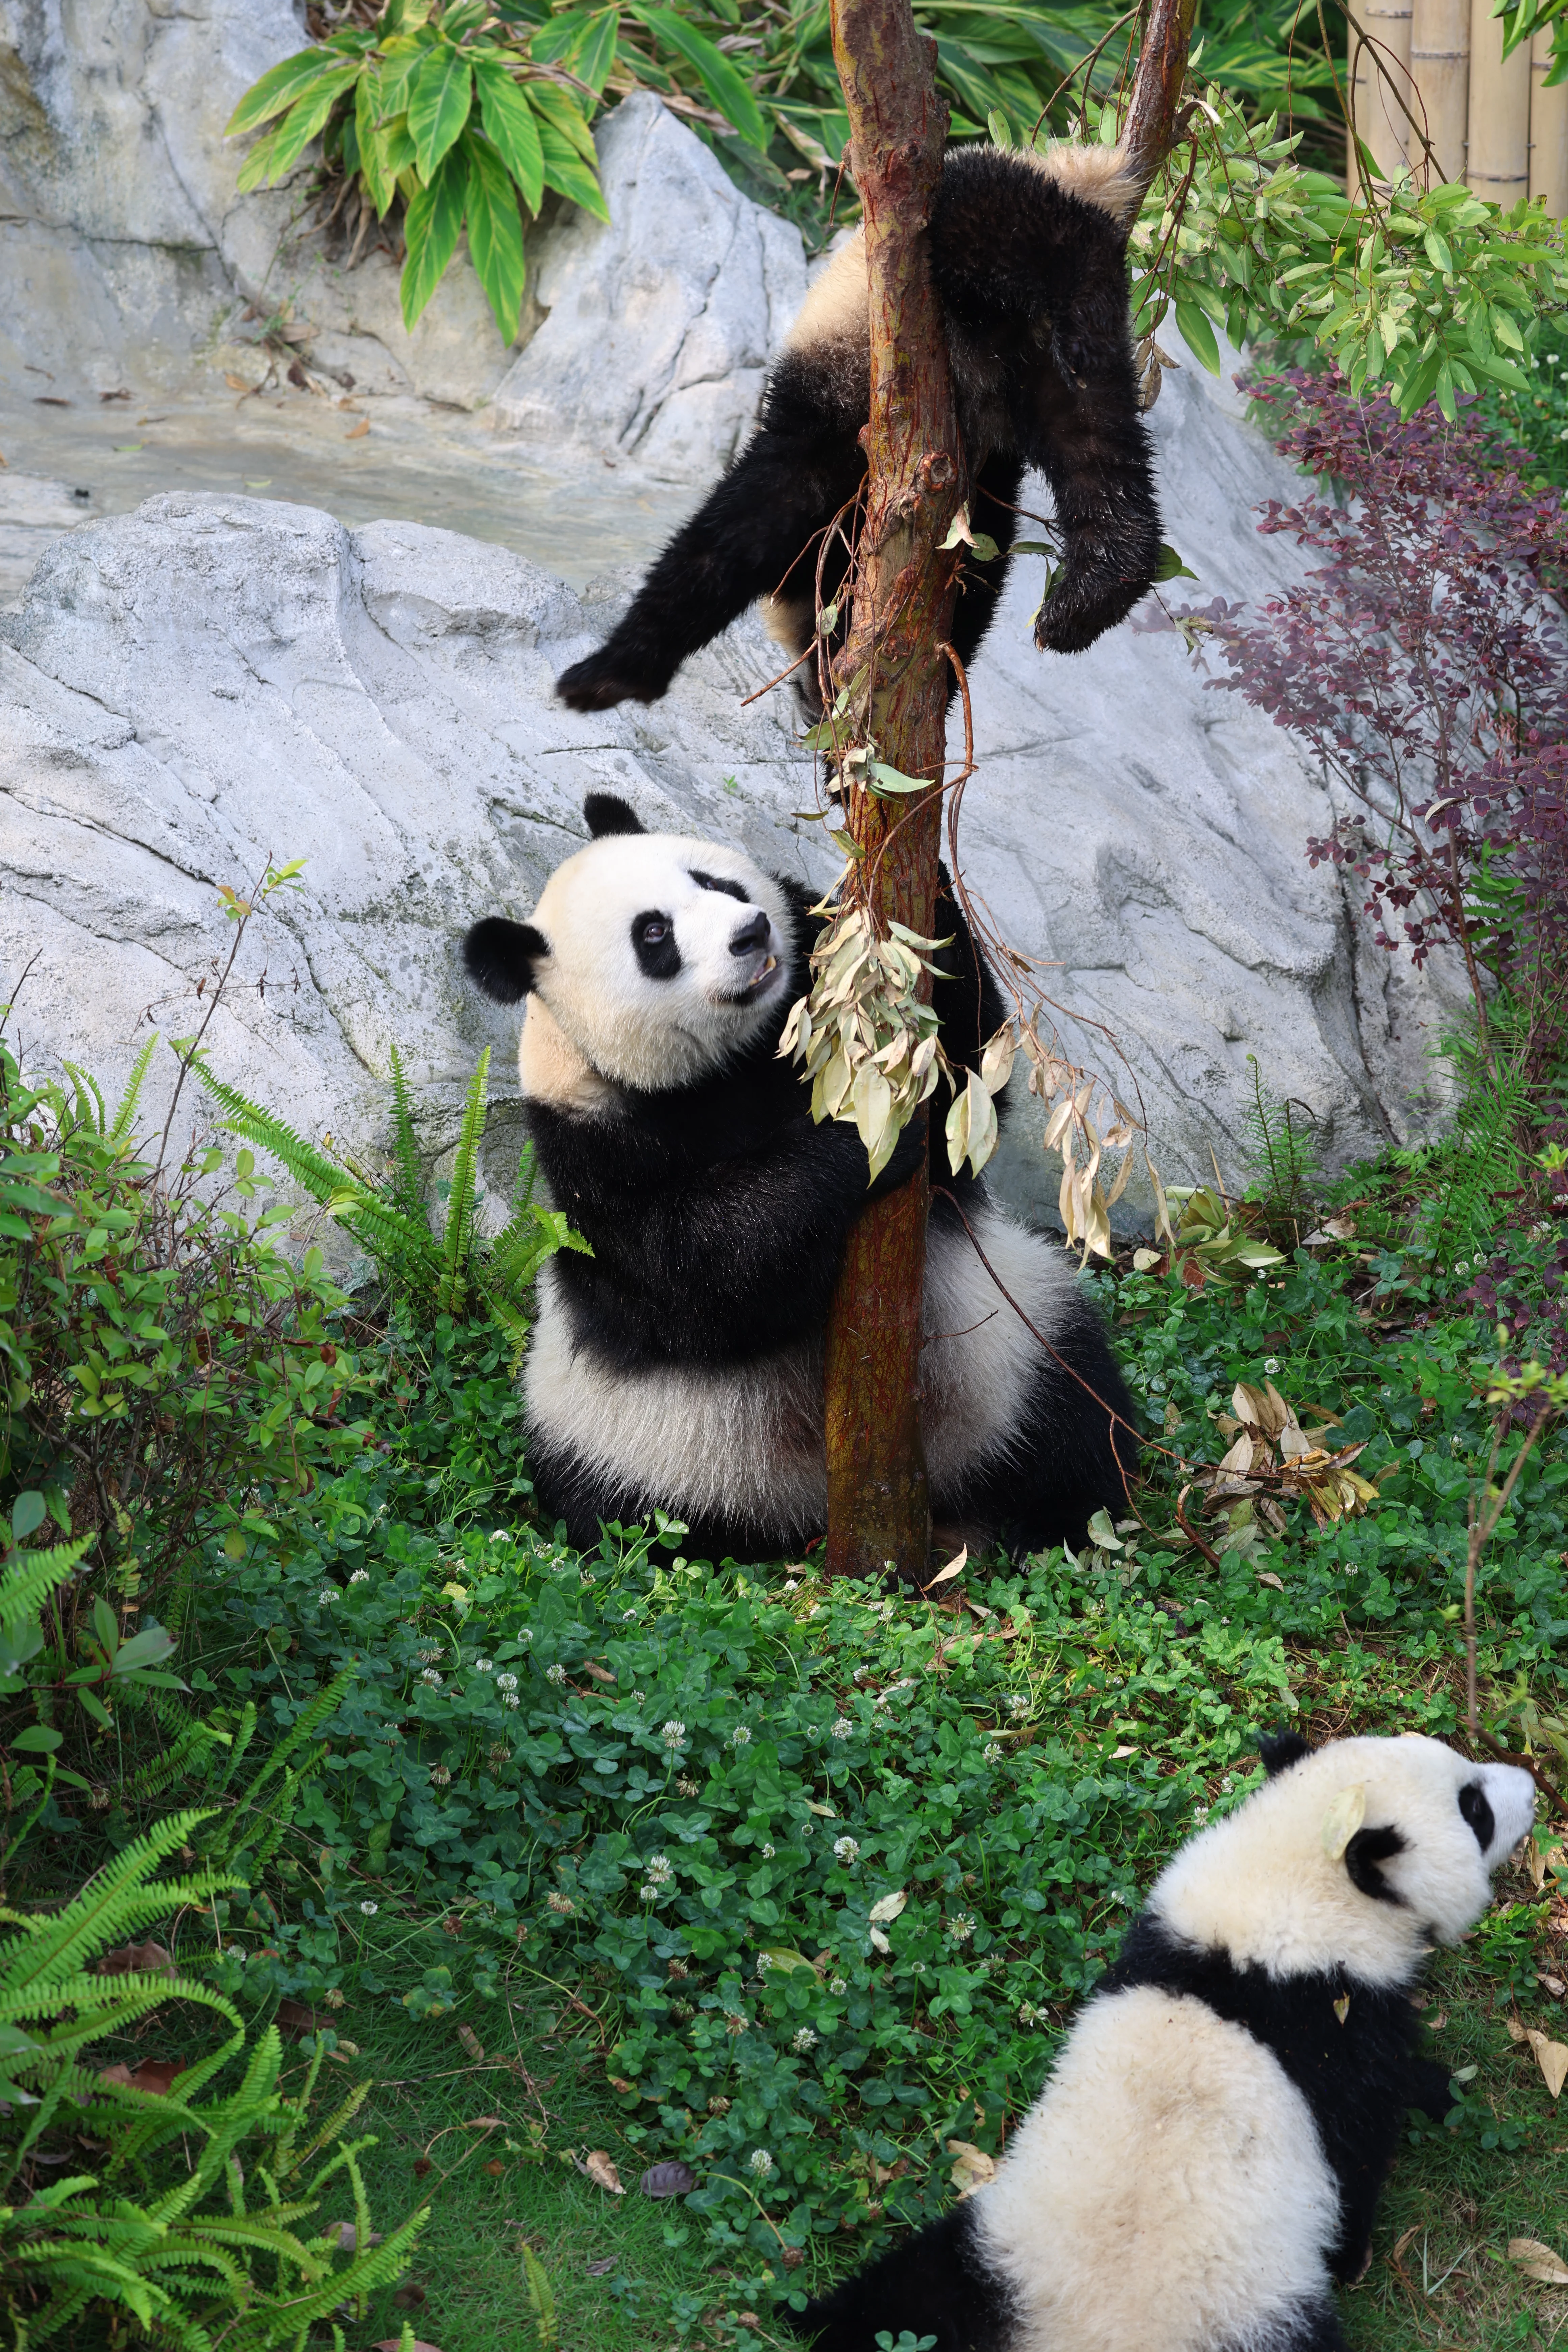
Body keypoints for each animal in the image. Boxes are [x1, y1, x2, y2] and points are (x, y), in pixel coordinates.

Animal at [461, 790, 1136, 1564]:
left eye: (714, 882)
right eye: (654, 935)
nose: (750, 932)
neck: (732, 1062)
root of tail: (810, 1514)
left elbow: (968, 1072)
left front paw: (906, 868)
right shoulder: (597, 1157)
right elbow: (705, 1273)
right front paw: (863, 1136)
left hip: (1007, 1348)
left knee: (1075, 1408)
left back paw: (1055, 1521)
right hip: (626, 1440)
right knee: (609, 1510)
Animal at [555, 141, 1160, 720]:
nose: (810, 710)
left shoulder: (822, 440)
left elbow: (725, 542)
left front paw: (606, 676)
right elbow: (972, 577)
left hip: (949, 221)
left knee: (1003, 225)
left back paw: (1081, 290)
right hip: (1035, 370)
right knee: (1095, 441)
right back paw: (1096, 589)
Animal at [795, 1731, 1538, 2352]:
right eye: (1474, 1807)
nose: (1531, 1786)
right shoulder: (1336, 2029)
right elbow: (1364, 2143)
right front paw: (1364, 2234)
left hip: (985, 2260)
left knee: (892, 2300)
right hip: (1250, 2316)